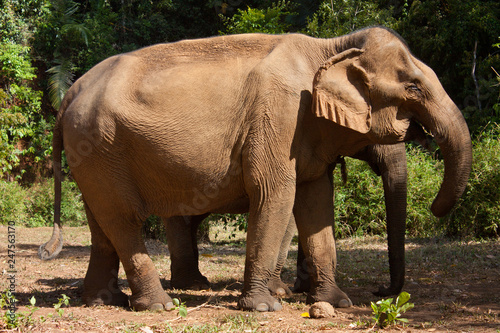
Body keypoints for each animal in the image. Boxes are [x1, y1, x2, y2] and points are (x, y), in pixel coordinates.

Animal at [40, 26, 472, 312]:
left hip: (93, 154)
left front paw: (337, 302)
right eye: (413, 86)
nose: (383, 293)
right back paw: (159, 306)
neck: (329, 46)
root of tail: (69, 95)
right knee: (124, 217)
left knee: (102, 222)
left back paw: (102, 301)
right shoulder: (279, 114)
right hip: (100, 144)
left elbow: (316, 202)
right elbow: (275, 192)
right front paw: (264, 307)